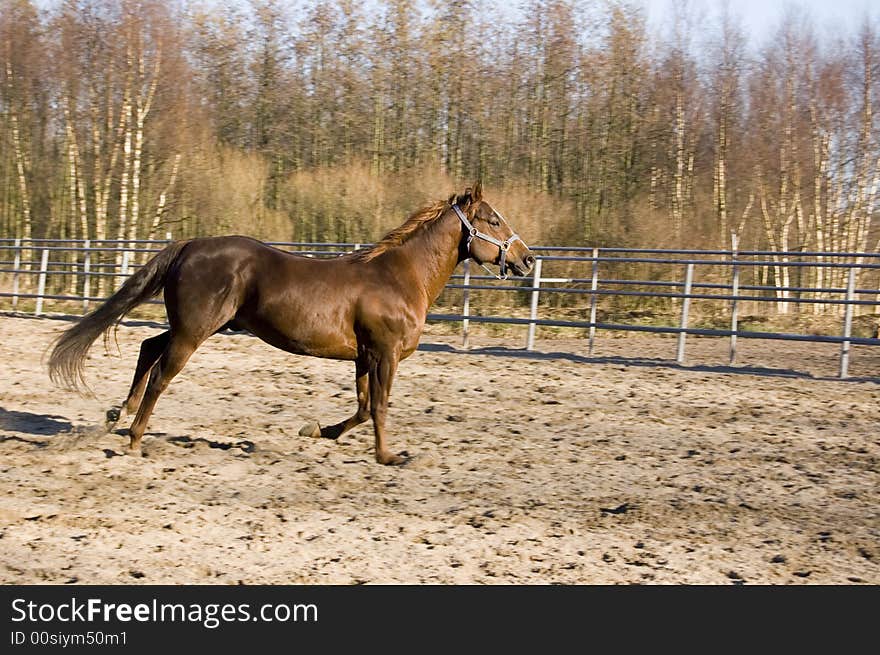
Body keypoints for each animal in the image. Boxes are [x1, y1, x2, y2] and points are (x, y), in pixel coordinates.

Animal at [49, 182, 536, 464]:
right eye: (494, 219)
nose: (528, 259)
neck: (398, 277)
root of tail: (190, 245)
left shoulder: (364, 357)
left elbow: (362, 407)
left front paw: (319, 431)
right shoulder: (386, 355)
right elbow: (379, 407)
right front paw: (389, 457)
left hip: (201, 325)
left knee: (148, 347)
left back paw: (118, 413)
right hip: (194, 331)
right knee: (161, 375)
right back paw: (134, 438)